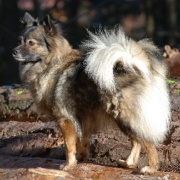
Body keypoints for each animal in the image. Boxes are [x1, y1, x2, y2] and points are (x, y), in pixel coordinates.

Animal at [12, 12, 170, 173]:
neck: (51, 63)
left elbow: (69, 146)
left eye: (30, 43)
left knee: (147, 142)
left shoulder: (64, 119)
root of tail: (131, 66)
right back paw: (127, 163)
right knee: (136, 141)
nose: (14, 51)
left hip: (124, 116)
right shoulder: (82, 118)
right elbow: (82, 141)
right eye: (19, 41)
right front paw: (81, 159)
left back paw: (151, 168)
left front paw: (68, 165)